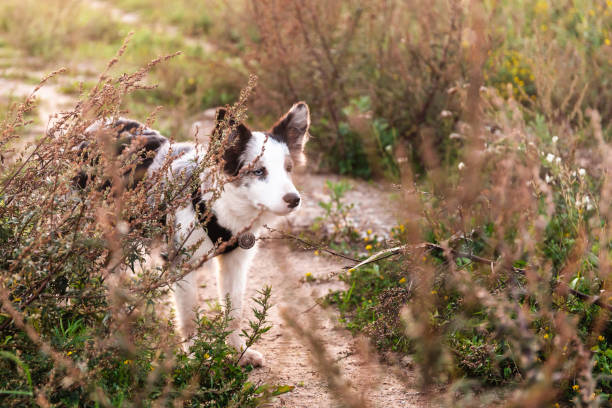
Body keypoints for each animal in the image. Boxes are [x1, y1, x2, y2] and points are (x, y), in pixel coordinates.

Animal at [80, 101, 308, 366]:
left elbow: (234, 312)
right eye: (259, 171)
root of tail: (95, 125)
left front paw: (239, 352)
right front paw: (194, 357)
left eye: (288, 169)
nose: (294, 200)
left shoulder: (235, 262)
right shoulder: (181, 264)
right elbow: (189, 317)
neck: (212, 203)